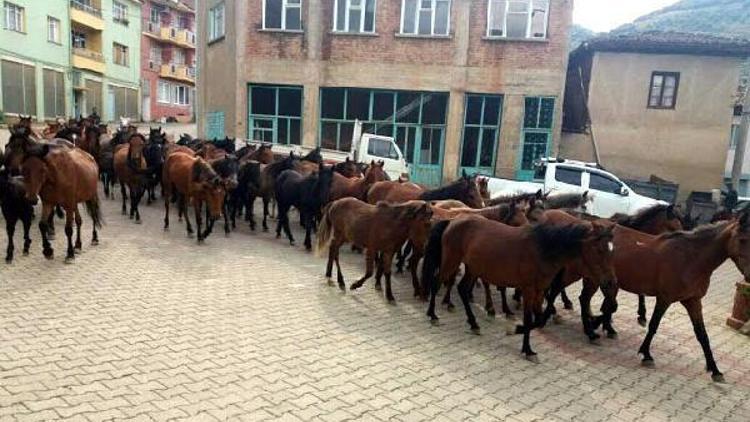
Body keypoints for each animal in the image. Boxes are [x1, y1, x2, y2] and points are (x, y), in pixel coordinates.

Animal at [424, 216, 616, 362]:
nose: (610, 282)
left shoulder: (539, 291)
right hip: (451, 261)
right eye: (599, 250)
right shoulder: (528, 290)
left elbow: (538, 320)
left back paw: (474, 324)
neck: (543, 249)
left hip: (472, 268)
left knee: (463, 290)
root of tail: (453, 221)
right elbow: (529, 318)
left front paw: (515, 330)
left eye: (611, 250)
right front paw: (527, 348)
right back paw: (433, 315)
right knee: (435, 283)